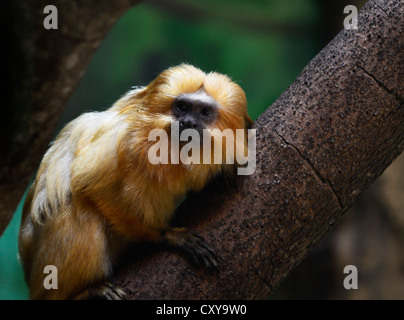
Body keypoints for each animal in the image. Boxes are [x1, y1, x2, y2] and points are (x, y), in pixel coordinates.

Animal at [19, 64, 252, 300]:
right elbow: (89, 185)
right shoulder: (123, 140)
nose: (188, 122)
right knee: (76, 208)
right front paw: (167, 236)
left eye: (205, 112)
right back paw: (85, 291)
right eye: (182, 107)